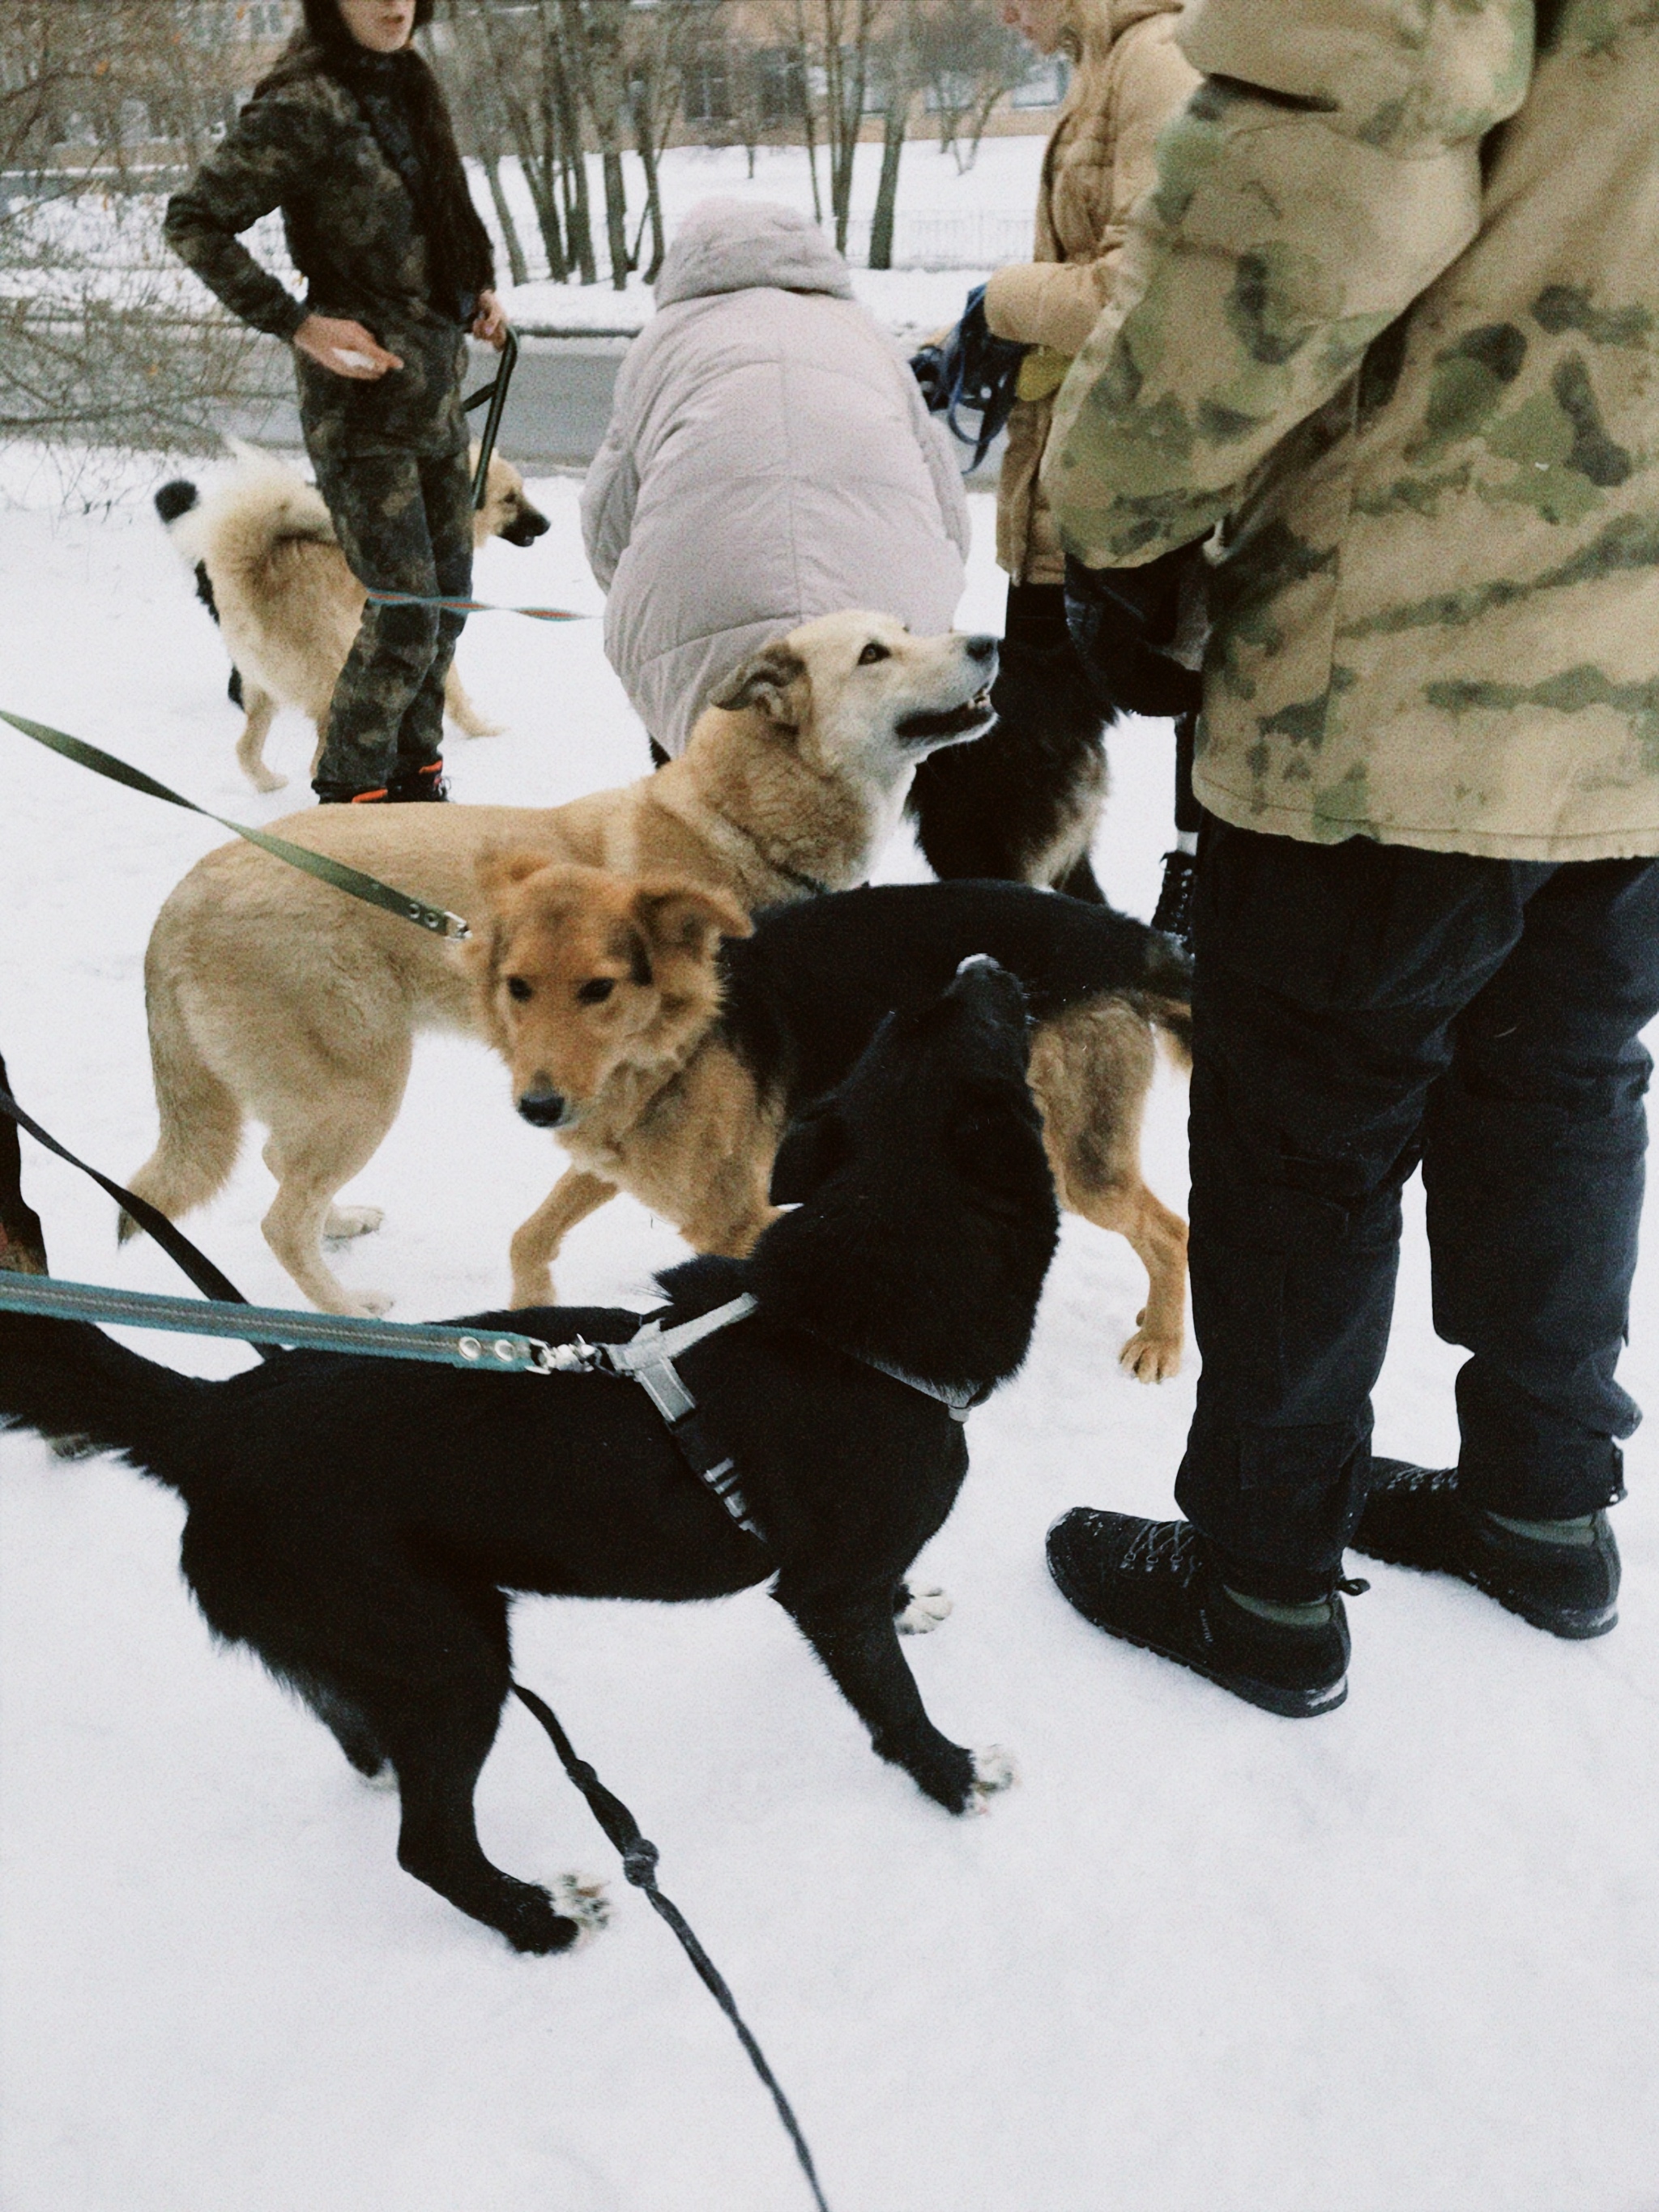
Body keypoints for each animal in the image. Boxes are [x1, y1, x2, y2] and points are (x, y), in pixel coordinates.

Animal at [0, 964, 1057, 1955]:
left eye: (912, 1017)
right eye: (981, 1027)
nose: (983, 962)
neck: (862, 1303)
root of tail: (216, 1414)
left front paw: (911, 1606)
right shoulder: (826, 1595)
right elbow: (893, 1699)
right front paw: (953, 1776)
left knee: (353, 1733)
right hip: (453, 1663)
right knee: (426, 1847)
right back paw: (537, 1921)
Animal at [160, 436, 552, 791]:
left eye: (520, 492)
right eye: (510, 498)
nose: (547, 524)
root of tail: (253, 571)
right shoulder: (434, 639)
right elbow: (456, 696)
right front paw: (482, 729)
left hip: (262, 689)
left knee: (246, 750)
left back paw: (270, 784)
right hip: (332, 680)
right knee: (321, 760)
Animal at [468, 854, 1185, 1371]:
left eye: (599, 989)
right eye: (518, 987)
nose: (538, 1107)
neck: (675, 1043)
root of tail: (1123, 937)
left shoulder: (740, 1221)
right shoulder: (614, 1164)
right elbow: (527, 1236)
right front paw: (531, 1306)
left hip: (1077, 1168)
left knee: (1171, 1231)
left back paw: (1164, 1342)